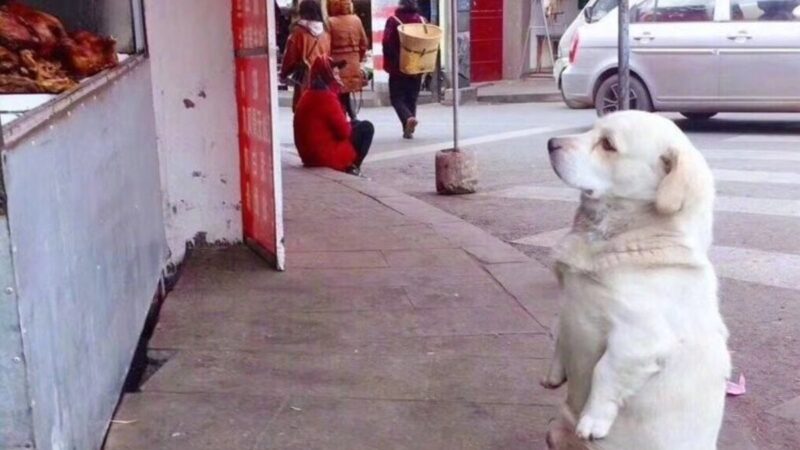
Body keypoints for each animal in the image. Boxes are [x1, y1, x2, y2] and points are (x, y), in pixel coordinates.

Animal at [544, 110, 732, 450]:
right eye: (593, 129)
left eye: (607, 144)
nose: (551, 143)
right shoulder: (566, 307)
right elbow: (558, 335)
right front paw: (554, 373)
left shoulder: (640, 338)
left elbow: (605, 372)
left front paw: (593, 420)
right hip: (553, 432)